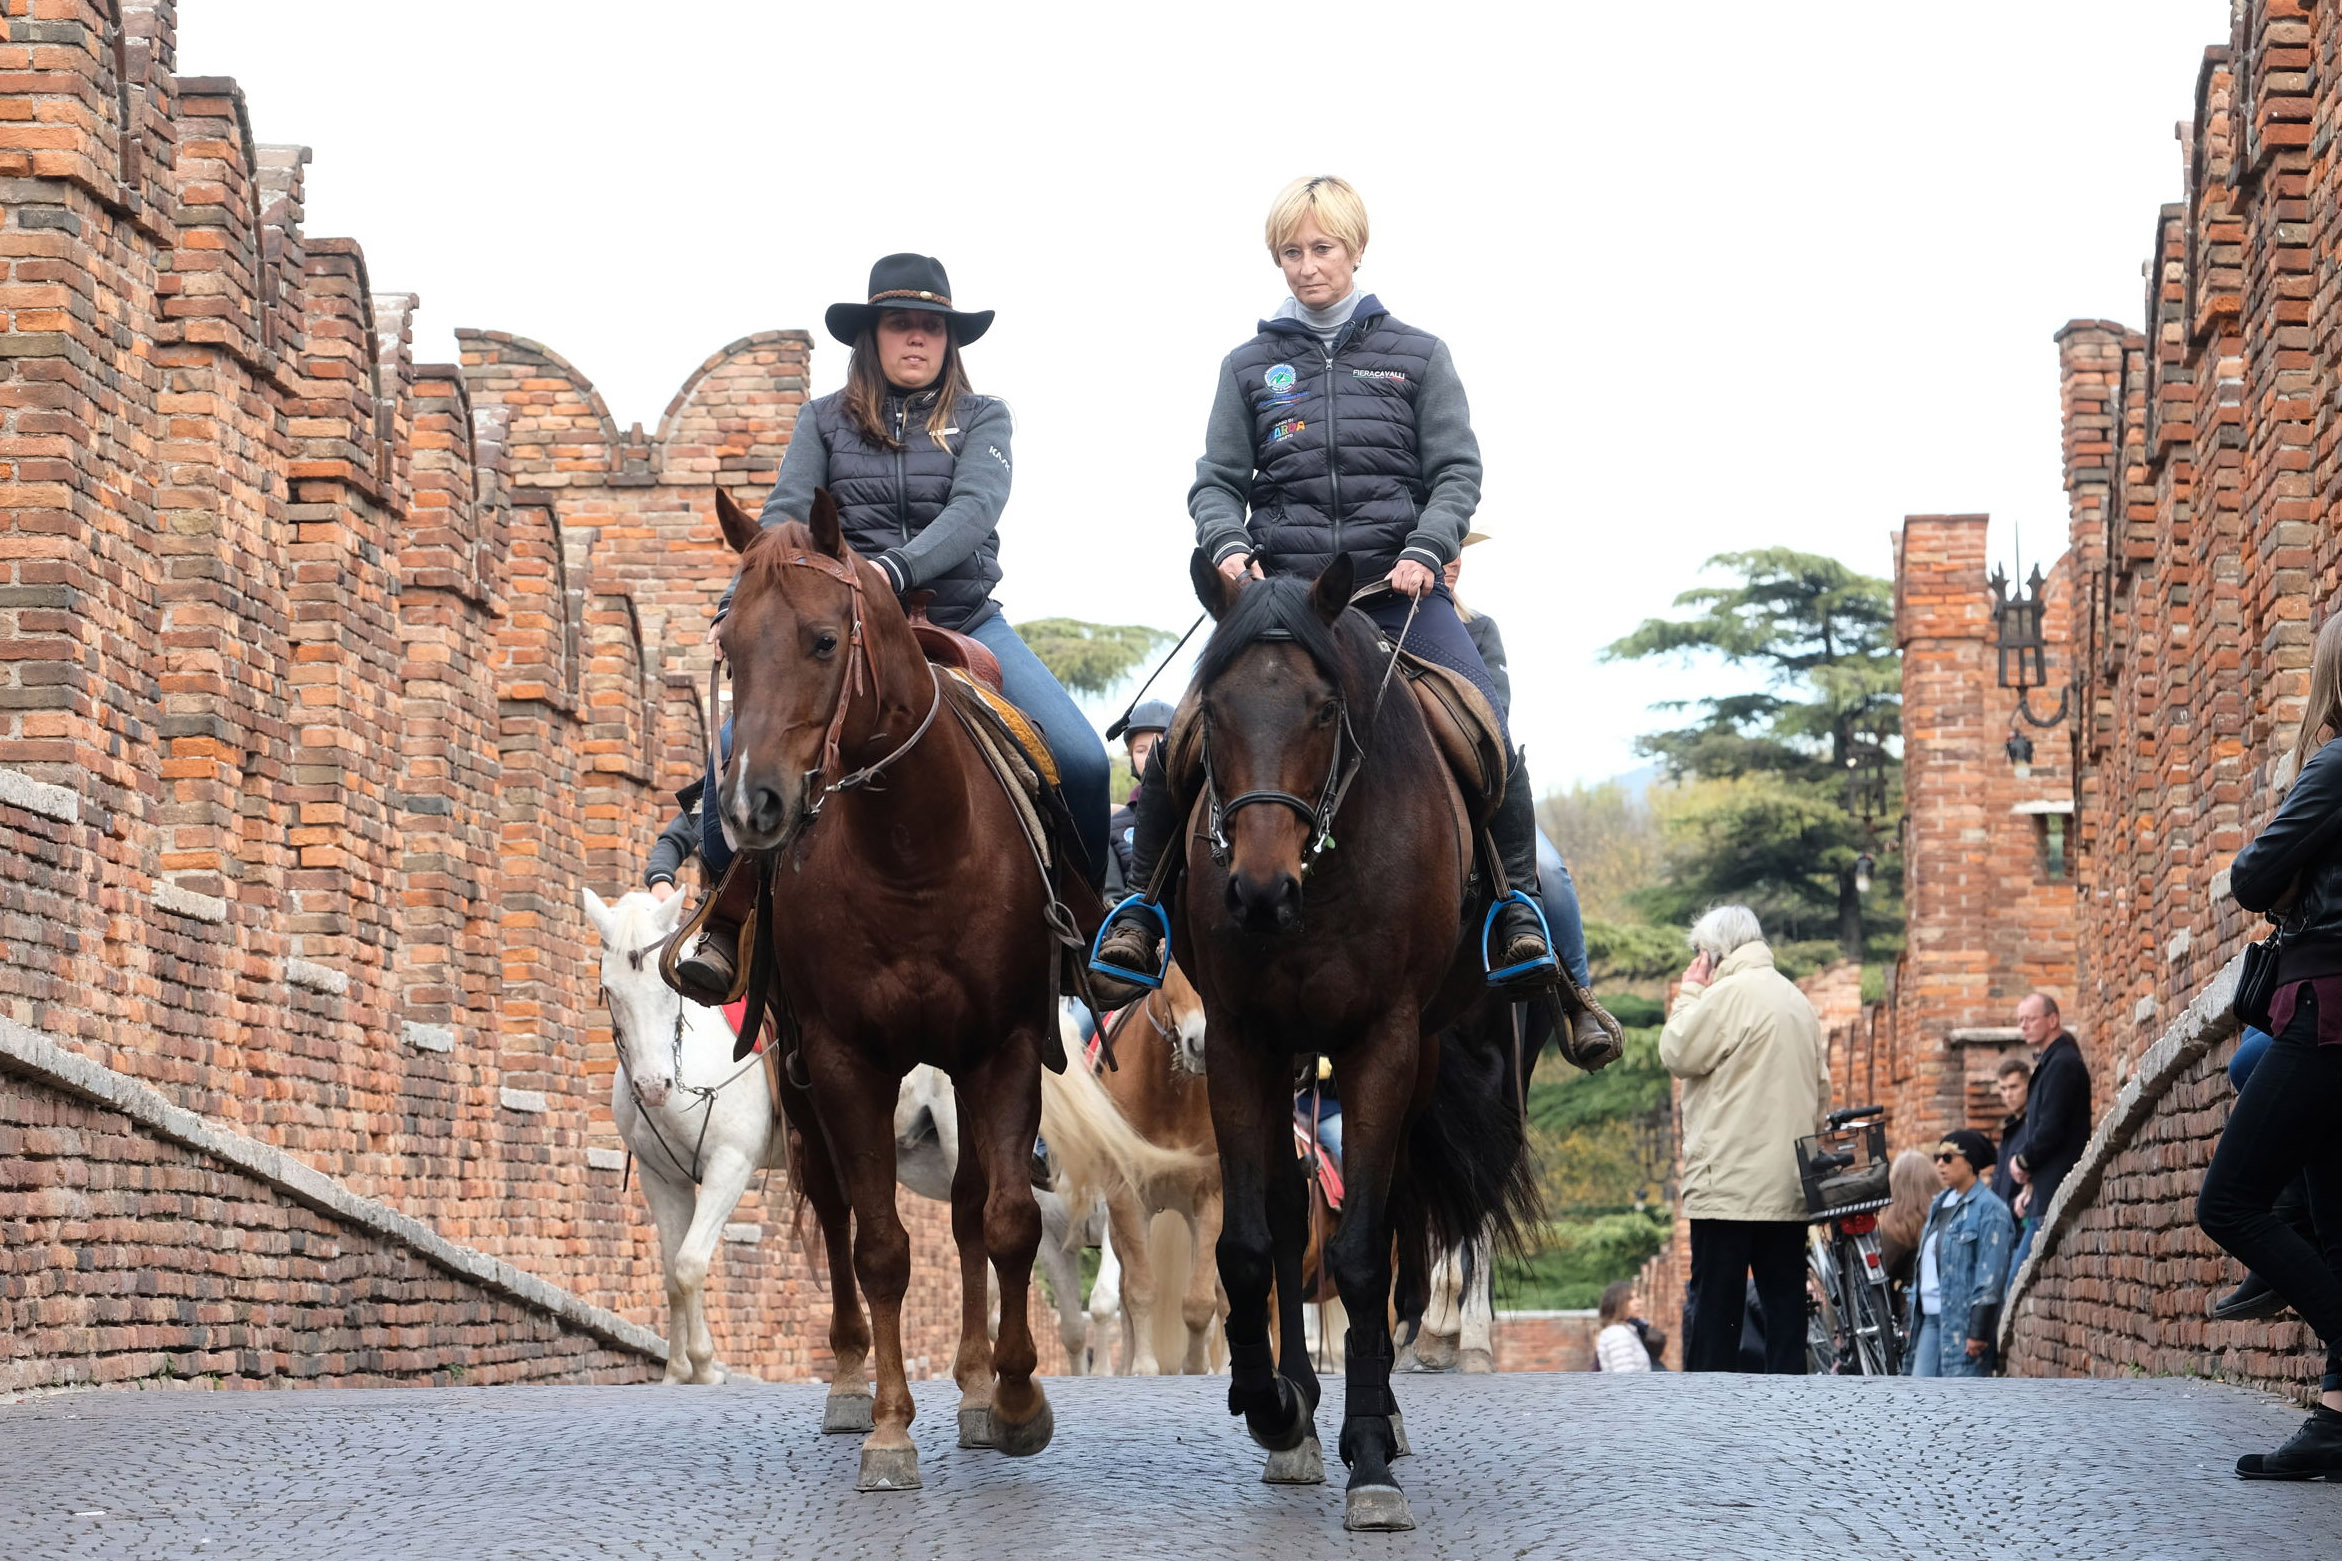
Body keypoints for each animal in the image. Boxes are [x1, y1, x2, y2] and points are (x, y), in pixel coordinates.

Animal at [702, 489, 1096, 1488]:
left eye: (823, 640)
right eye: (732, 649)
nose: (754, 806)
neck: (912, 850)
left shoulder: (1002, 1048)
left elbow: (1005, 1221)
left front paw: (1017, 1401)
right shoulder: (844, 1059)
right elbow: (878, 1243)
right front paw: (888, 1427)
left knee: (968, 1209)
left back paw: (977, 1385)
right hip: (801, 1074)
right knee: (839, 1206)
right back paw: (850, 1381)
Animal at [1171, 554, 1573, 1535]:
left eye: (1323, 710)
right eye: (1215, 711)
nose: (1259, 892)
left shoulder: (1383, 1040)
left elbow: (1361, 1250)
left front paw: (1372, 1459)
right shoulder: (1241, 1038)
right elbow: (1250, 1241)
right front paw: (1275, 1405)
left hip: (1418, 1054)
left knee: (1386, 1222)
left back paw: (1377, 1410)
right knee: (1291, 1216)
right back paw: (1301, 1409)